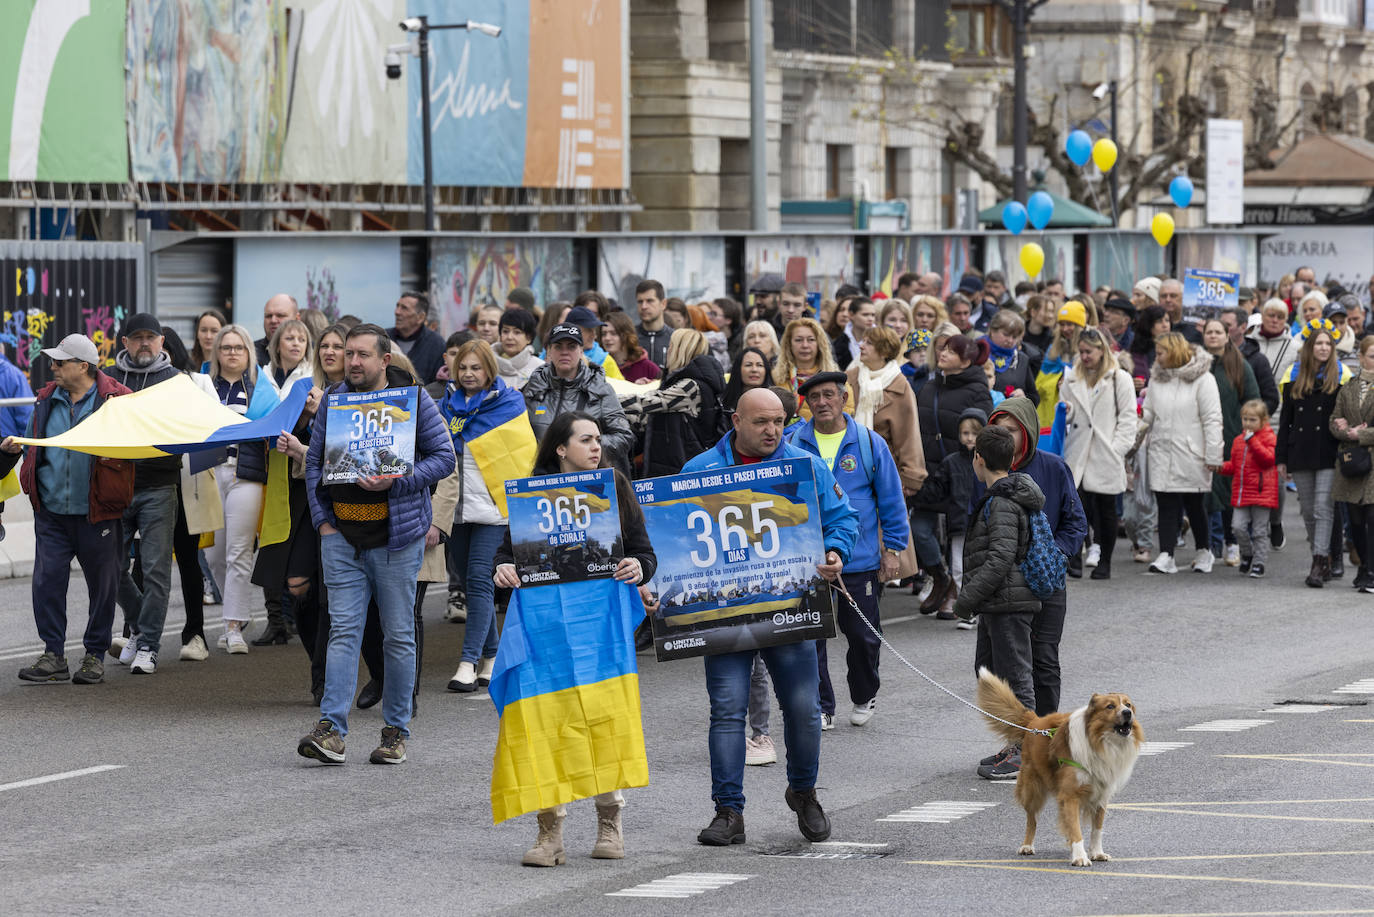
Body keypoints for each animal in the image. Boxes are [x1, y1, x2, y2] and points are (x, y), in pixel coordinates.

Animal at [978, 668, 1148, 868]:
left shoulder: (1101, 795)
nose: (1128, 712)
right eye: (1110, 707)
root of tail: (1034, 721)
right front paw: (1080, 856)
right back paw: (1027, 845)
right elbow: (1075, 828)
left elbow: (1096, 829)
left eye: (1128, 704)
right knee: (1031, 819)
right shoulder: (1070, 795)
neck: (1100, 741)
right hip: (1032, 789)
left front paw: (1096, 852)